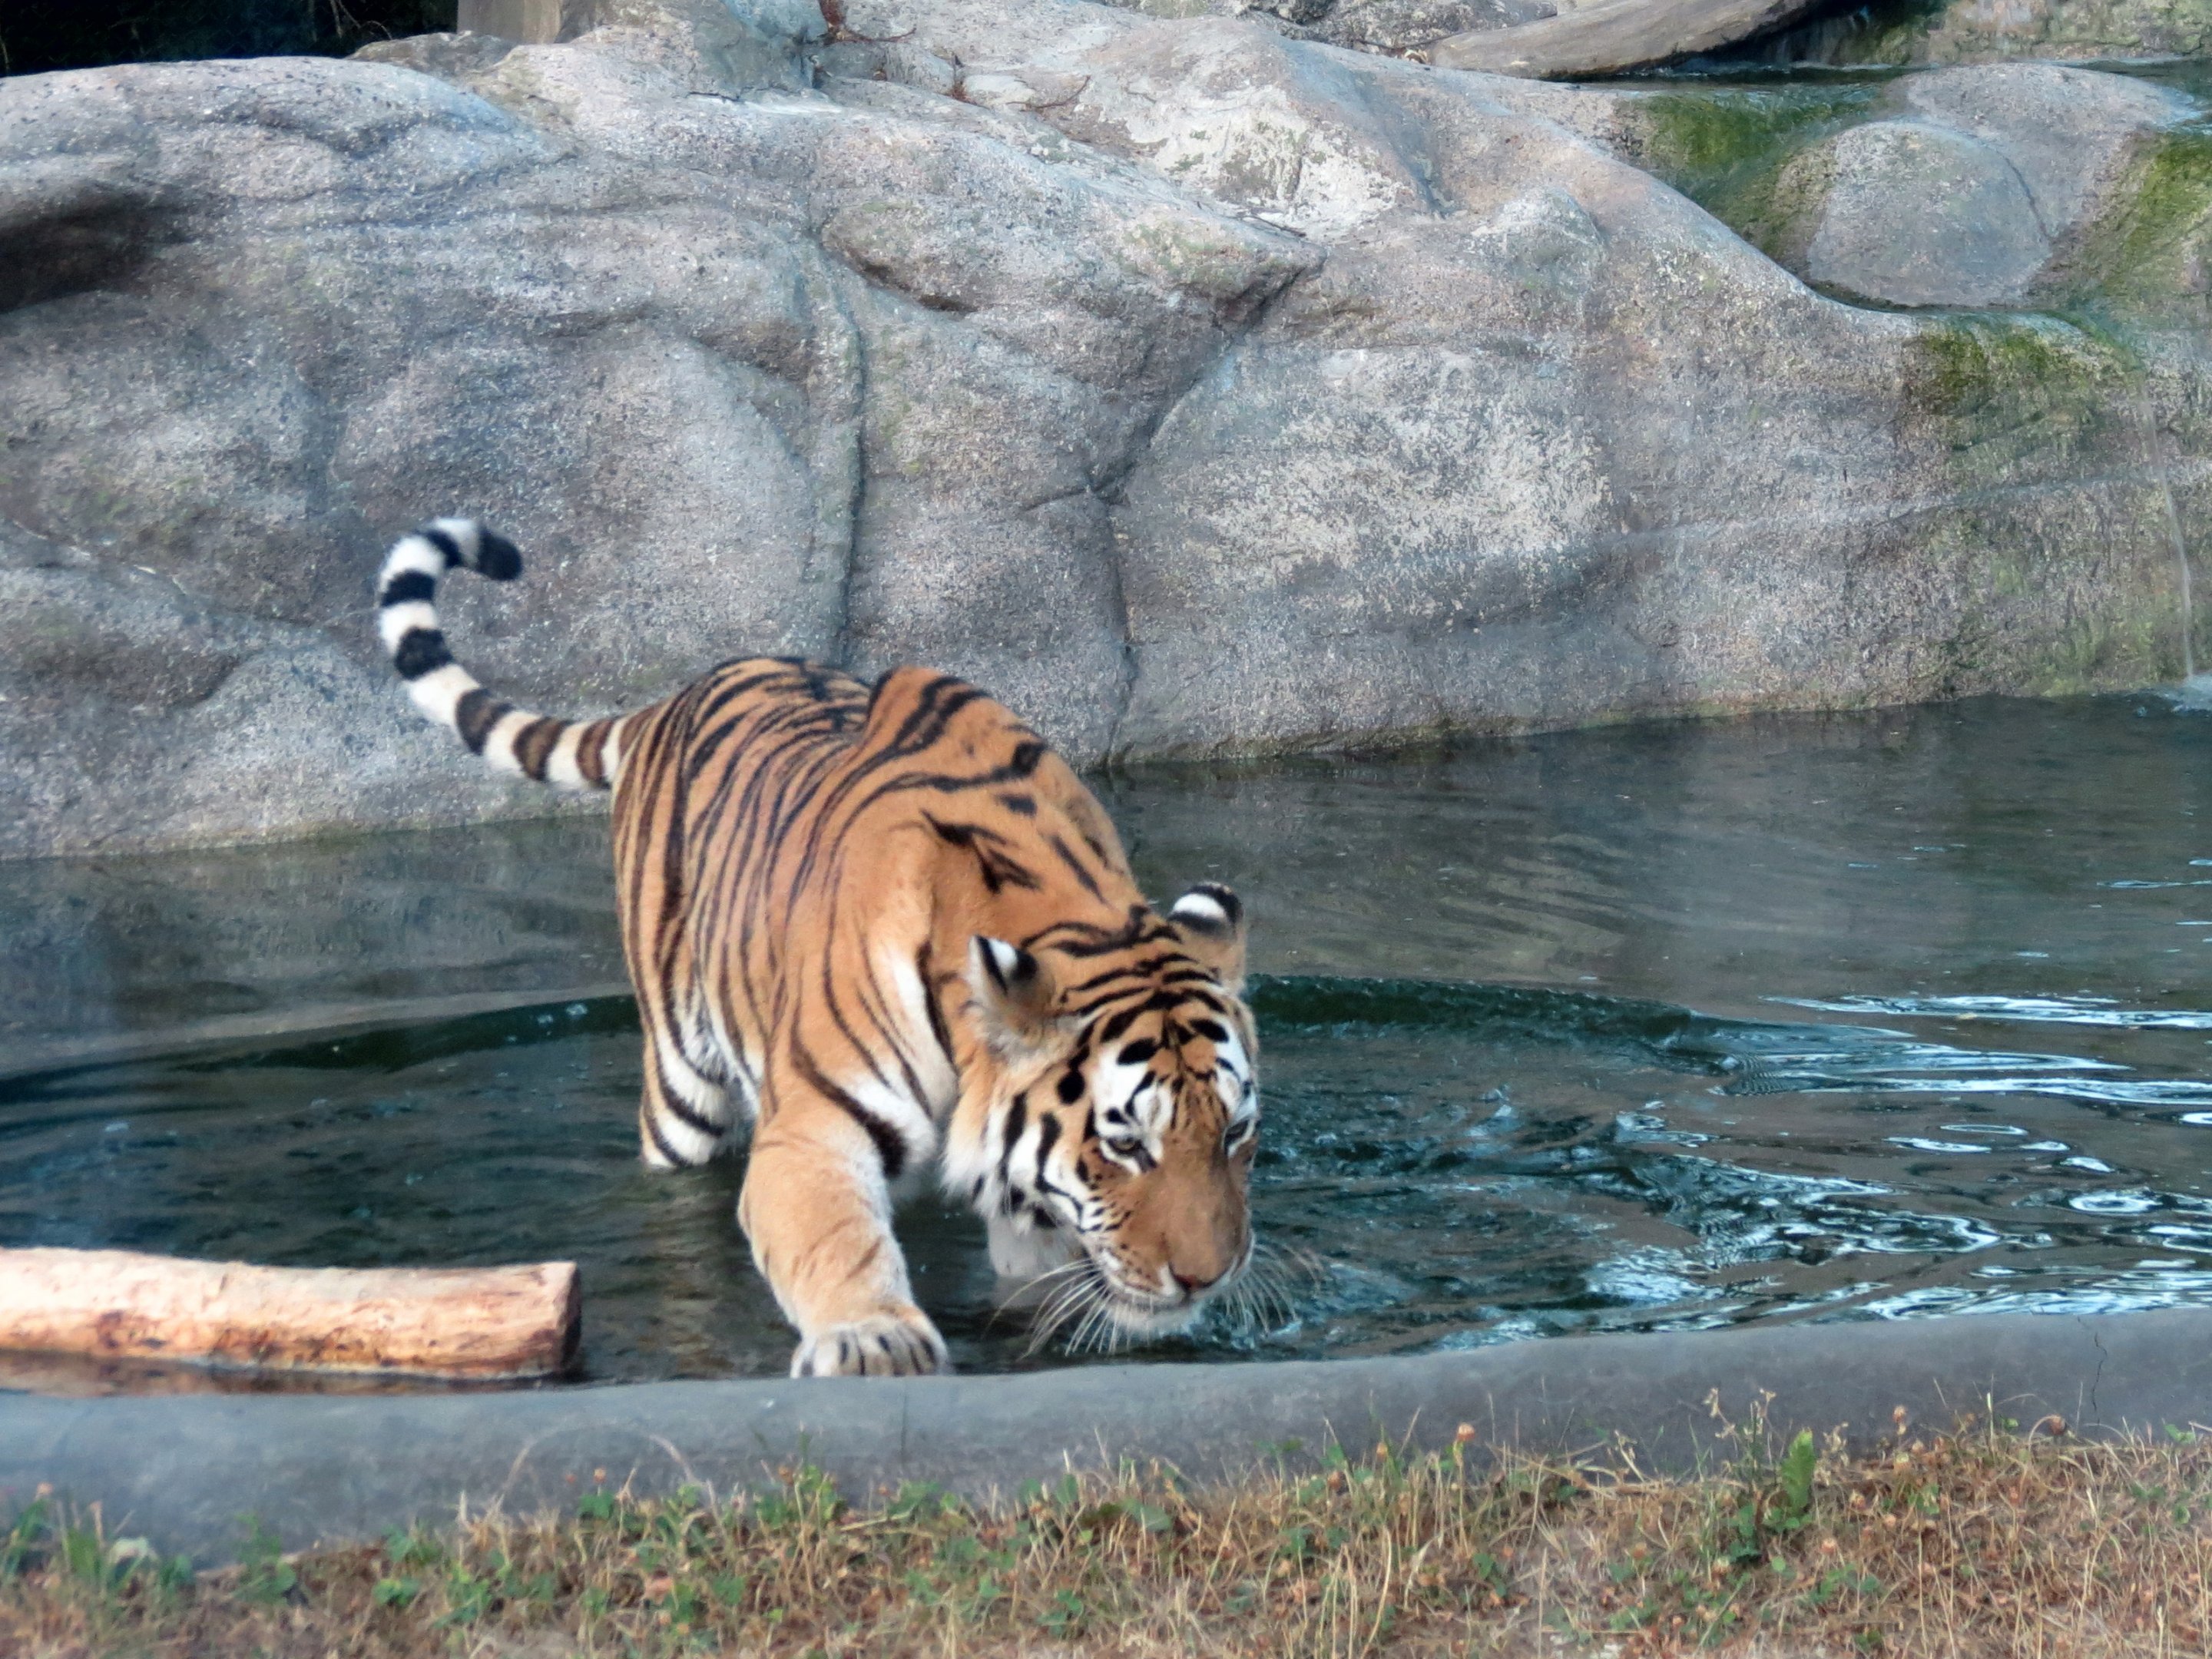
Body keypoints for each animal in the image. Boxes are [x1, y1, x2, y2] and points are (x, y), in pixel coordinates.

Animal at [376, 519, 1258, 1377]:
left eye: (1234, 1133)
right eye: (1125, 1144)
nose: (1206, 1278)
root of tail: (674, 695)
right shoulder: (812, 1131)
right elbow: (838, 1242)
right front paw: (874, 1338)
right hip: (681, 1087)